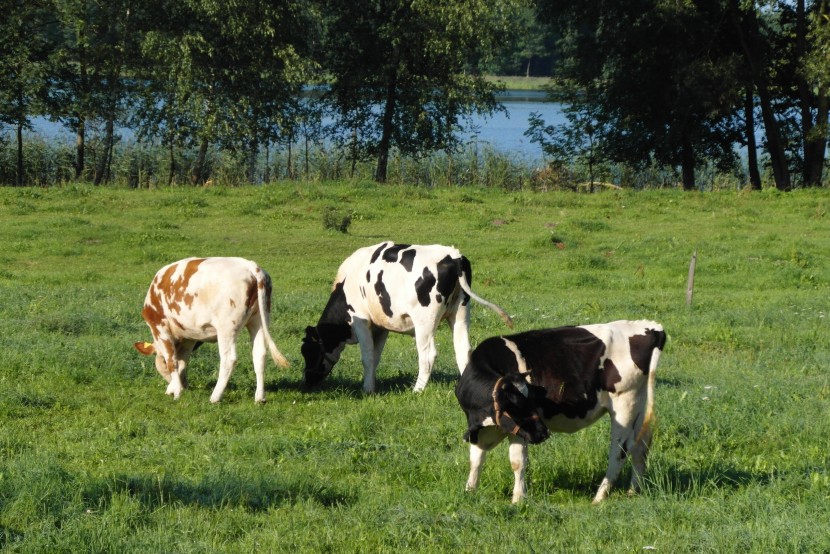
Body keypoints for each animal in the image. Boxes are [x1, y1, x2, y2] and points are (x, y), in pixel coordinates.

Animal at [135, 254, 290, 402]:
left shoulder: (160, 327)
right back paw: (259, 397)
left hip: (226, 328)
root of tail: (251, 267)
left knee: (229, 359)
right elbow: (183, 362)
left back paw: (215, 397)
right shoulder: (189, 336)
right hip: (258, 321)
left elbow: (172, 361)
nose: (180, 387)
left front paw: (177, 392)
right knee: (259, 355)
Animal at [302, 242, 516, 392]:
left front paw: (367, 389)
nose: (306, 383)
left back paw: (417, 390)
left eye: (308, 351)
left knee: (428, 355)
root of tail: (453, 256)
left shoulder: (361, 320)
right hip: (460, 313)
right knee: (463, 350)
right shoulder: (380, 327)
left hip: (424, 321)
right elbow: (375, 357)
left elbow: (367, 357)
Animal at [456, 316, 668, 502]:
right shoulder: (484, 428)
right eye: (514, 404)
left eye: (531, 400)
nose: (543, 433)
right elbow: (476, 459)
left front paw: (518, 499)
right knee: (640, 446)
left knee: (620, 450)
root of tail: (651, 327)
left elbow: (517, 462)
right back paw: (633, 491)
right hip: (639, 403)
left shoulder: (519, 431)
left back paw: (599, 497)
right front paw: (469, 491)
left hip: (624, 403)